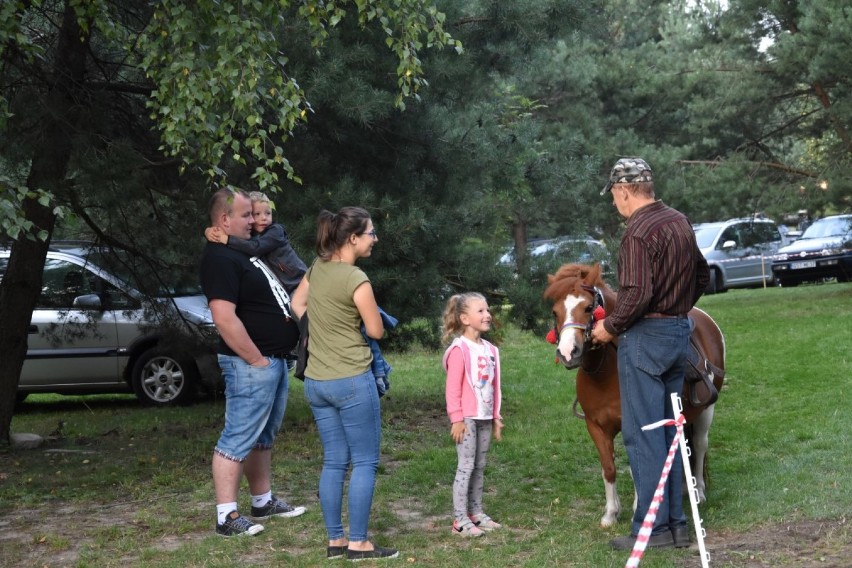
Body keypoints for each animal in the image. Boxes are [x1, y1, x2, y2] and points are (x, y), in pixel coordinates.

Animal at [544, 264, 724, 524]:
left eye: (588, 307)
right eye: (555, 311)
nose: (568, 352)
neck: (606, 374)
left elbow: (637, 464)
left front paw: (640, 508)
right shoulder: (596, 427)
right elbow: (609, 468)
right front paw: (611, 513)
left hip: (706, 411)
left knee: (699, 446)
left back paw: (698, 491)